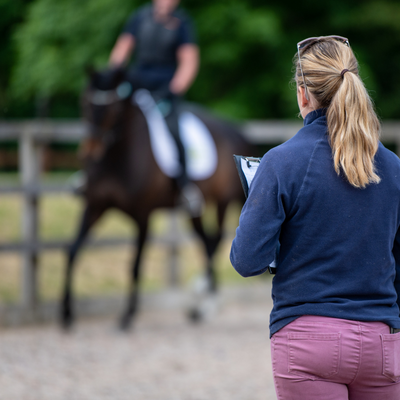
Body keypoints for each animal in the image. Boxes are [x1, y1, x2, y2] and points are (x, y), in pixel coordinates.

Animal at [60, 69, 253, 330]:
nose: (90, 152)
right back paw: (202, 305)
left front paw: (128, 315)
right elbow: (72, 252)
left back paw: (205, 303)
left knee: (217, 240)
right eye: (85, 103)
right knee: (207, 242)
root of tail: (236, 131)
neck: (117, 158)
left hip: (223, 201)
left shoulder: (143, 215)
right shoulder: (94, 206)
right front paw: (66, 314)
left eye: (114, 109)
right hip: (194, 209)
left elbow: (135, 265)